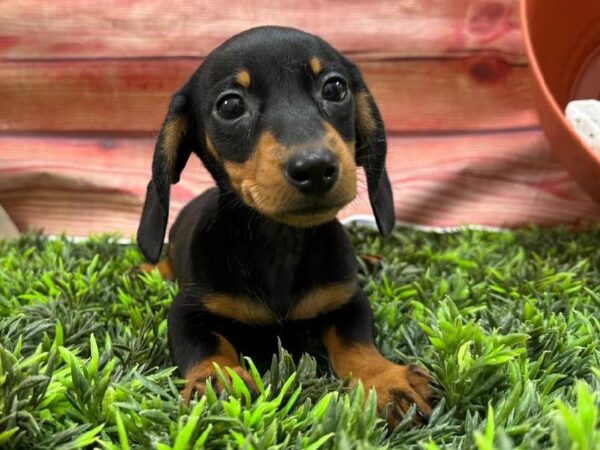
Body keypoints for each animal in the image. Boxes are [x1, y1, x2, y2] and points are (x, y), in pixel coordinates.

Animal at [138, 26, 434, 428]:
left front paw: (387, 380)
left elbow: (357, 343)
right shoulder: (186, 312)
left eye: (335, 88)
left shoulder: (348, 300)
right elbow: (206, 346)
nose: (315, 167)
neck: (278, 242)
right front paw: (218, 383)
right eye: (230, 106)